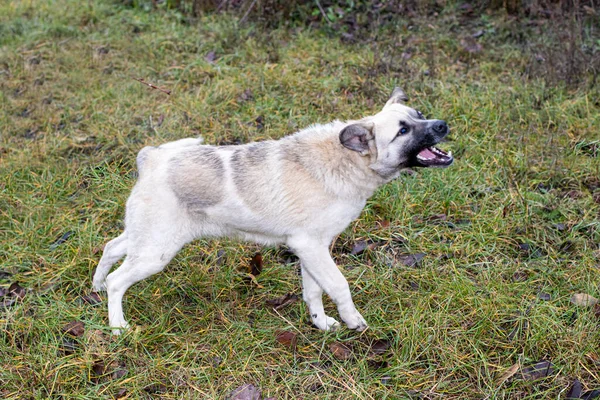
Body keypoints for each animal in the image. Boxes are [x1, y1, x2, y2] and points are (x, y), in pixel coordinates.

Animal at [92, 86, 450, 332]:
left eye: (419, 115)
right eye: (403, 130)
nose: (443, 125)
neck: (343, 160)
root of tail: (151, 158)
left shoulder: (312, 251)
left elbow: (313, 292)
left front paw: (321, 324)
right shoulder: (311, 247)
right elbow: (338, 286)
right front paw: (353, 321)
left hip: (148, 238)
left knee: (111, 248)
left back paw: (96, 286)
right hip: (156, 251)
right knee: (119, 280)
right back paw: (118, 326)